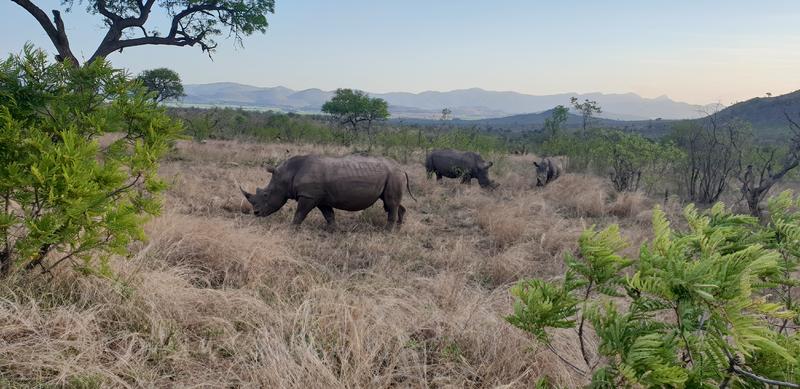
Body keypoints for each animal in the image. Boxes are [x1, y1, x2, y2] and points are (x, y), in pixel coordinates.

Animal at [238, 153, 412, 229]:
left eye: (266, 195)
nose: (256, 213)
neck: (286, 175)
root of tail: (402, 169)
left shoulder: (308, 195)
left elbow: (299, 214)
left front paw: (292, 228)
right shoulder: (319, 198)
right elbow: (329, 215)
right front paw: (334, 231)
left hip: (394, 175)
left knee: (391, 203)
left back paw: (387, 232)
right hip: (392, 176)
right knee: (392, 202)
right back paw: (398, 228)